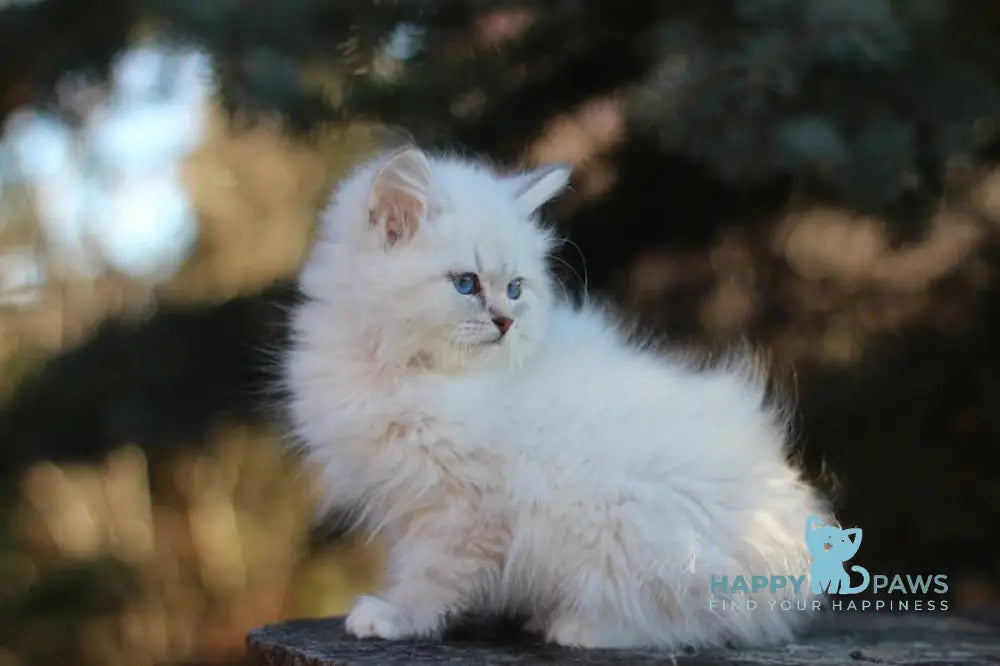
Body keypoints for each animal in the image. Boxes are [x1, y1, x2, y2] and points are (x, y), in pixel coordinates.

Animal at [284, 147, 828, 648]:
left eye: (515, 288)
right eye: (466, 284)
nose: (506, 322)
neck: (413, 372)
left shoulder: (466, 509)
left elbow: (432, 576)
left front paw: (394, 618)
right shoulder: (411, 498)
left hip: (630, 520)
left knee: (683, 620)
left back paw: (574, 627)